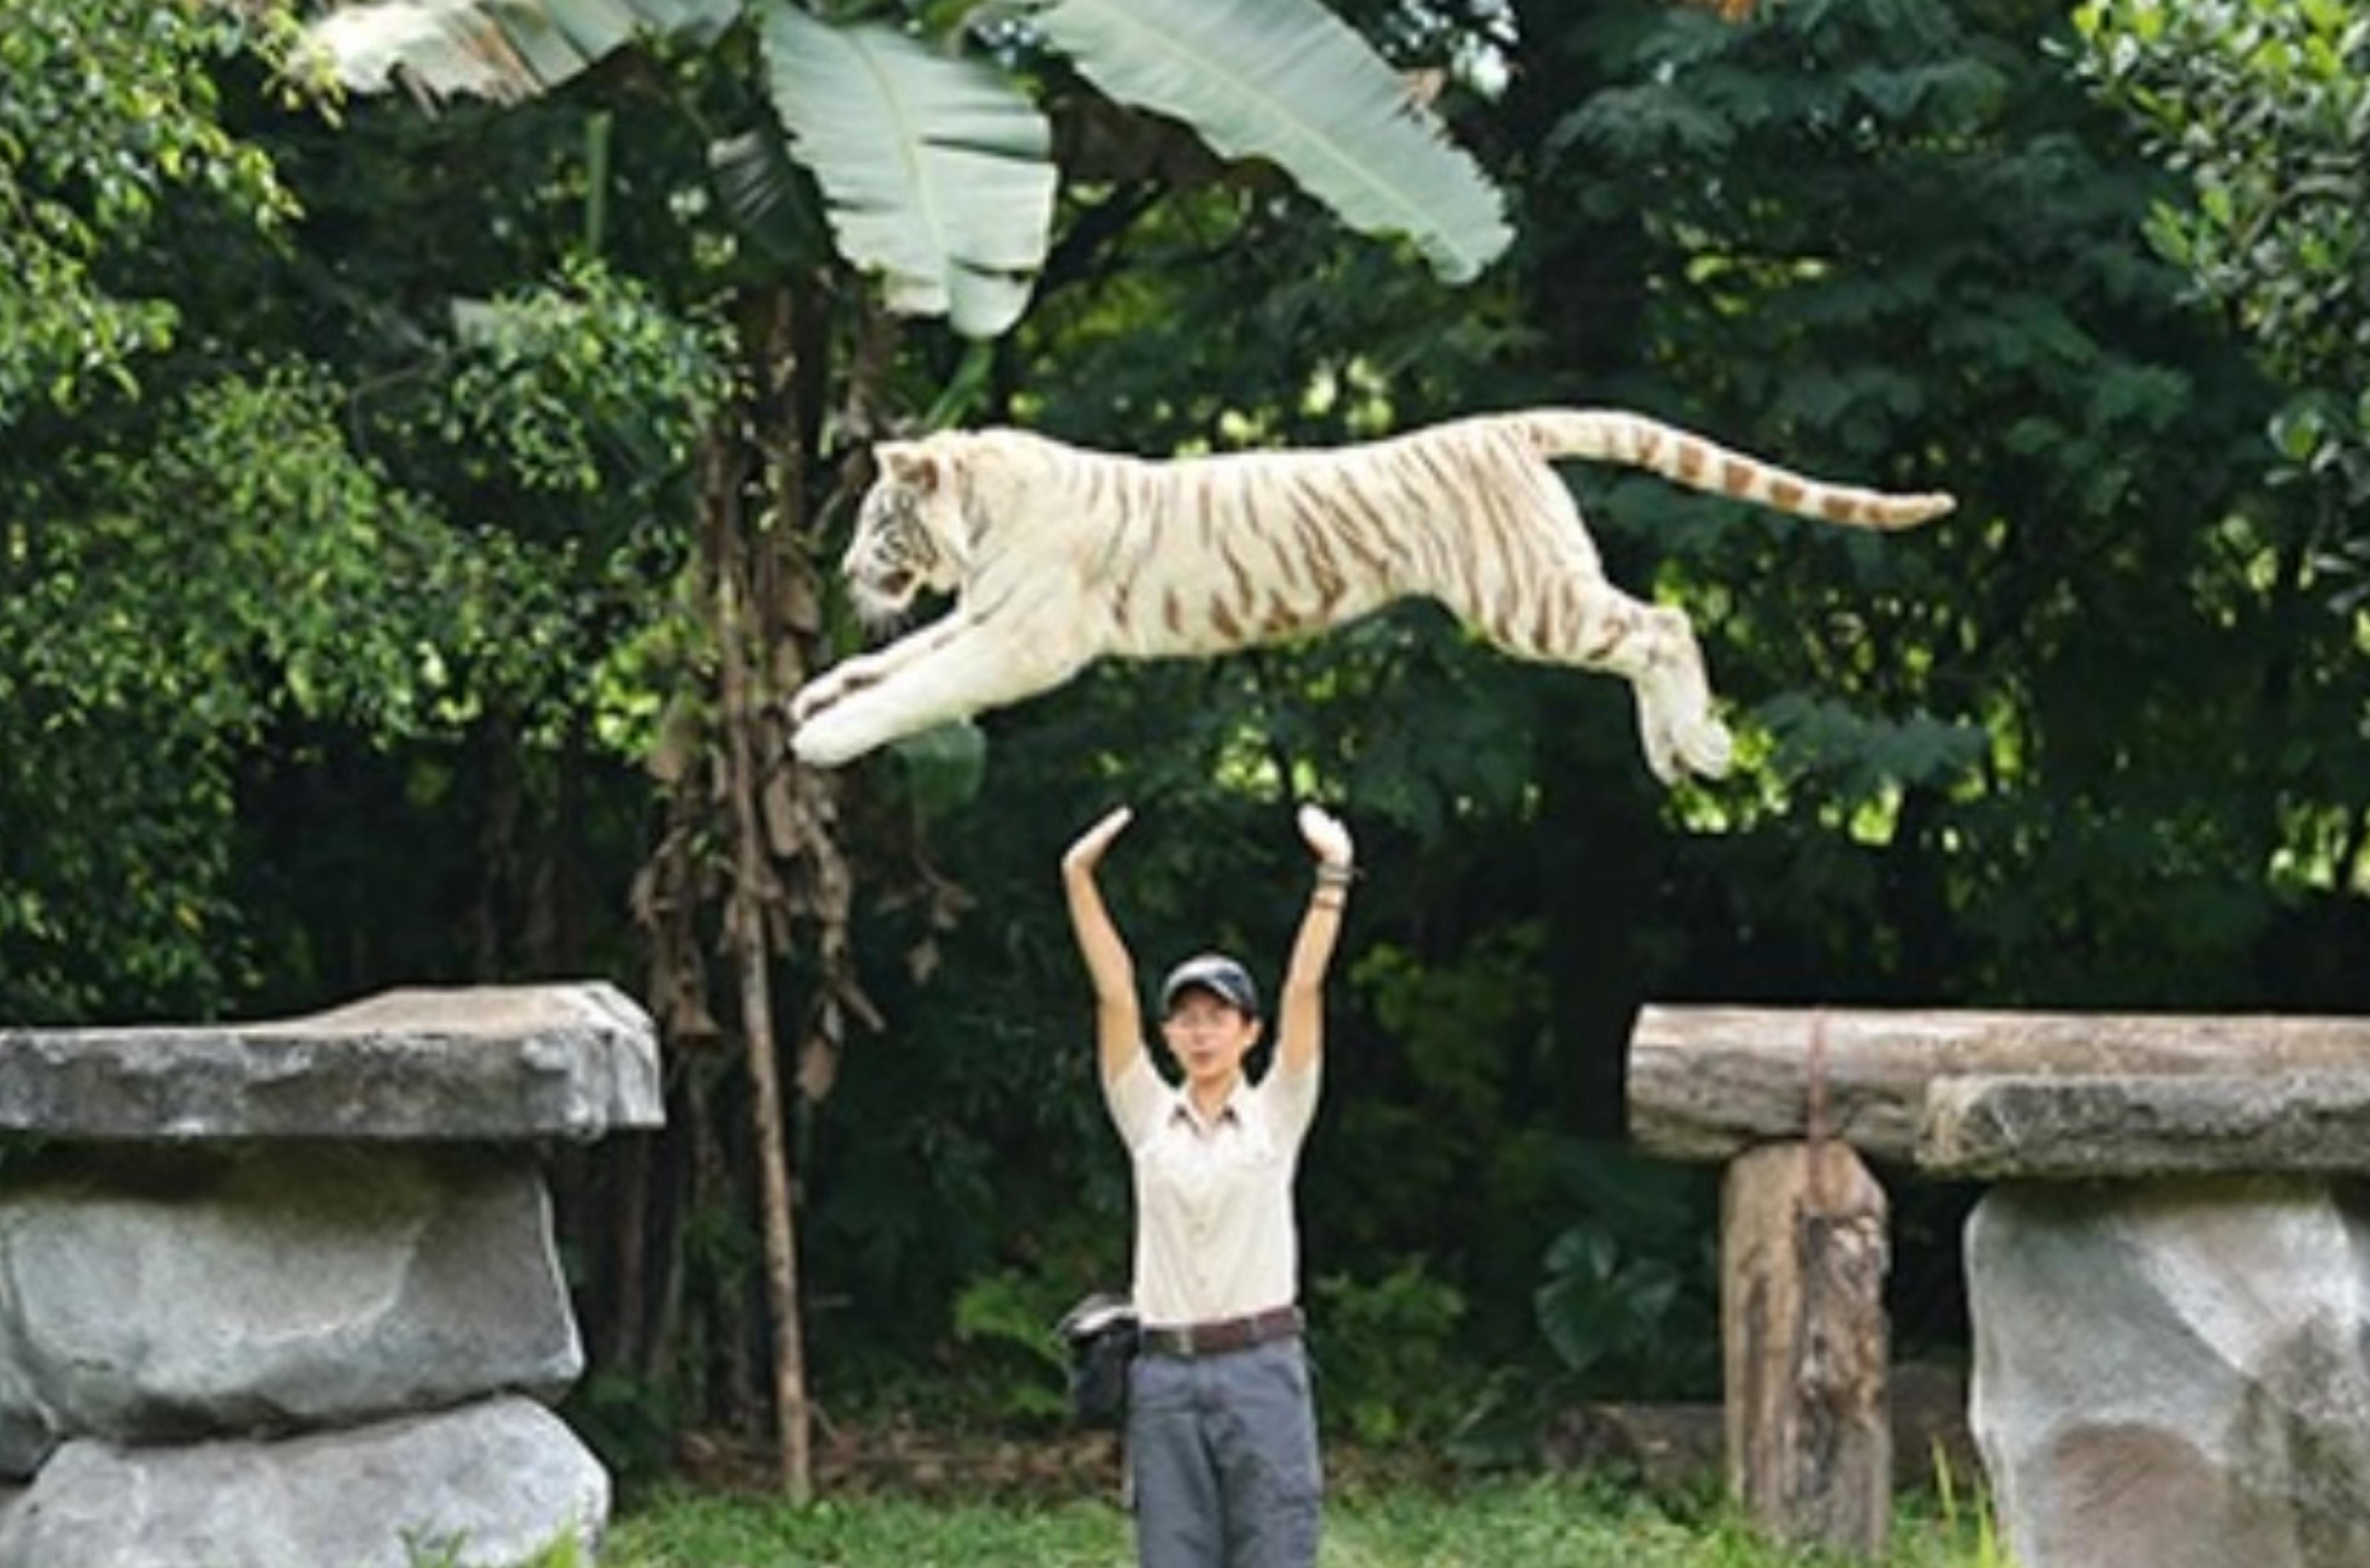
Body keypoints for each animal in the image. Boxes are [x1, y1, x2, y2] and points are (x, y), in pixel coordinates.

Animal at [787, 410, 1953, 782]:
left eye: (875, 522)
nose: (840, 574)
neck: (981, 518)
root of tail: (1507, 427)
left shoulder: (1029, 637)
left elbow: (924, 686)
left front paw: (822, 741)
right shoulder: (984, 614)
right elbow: (898, 659)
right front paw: (817, 694)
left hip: (1526, 599)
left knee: (1662, 624)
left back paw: (1700, 745)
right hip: (1547, 589)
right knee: (1644, 636)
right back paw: (1675, 749)